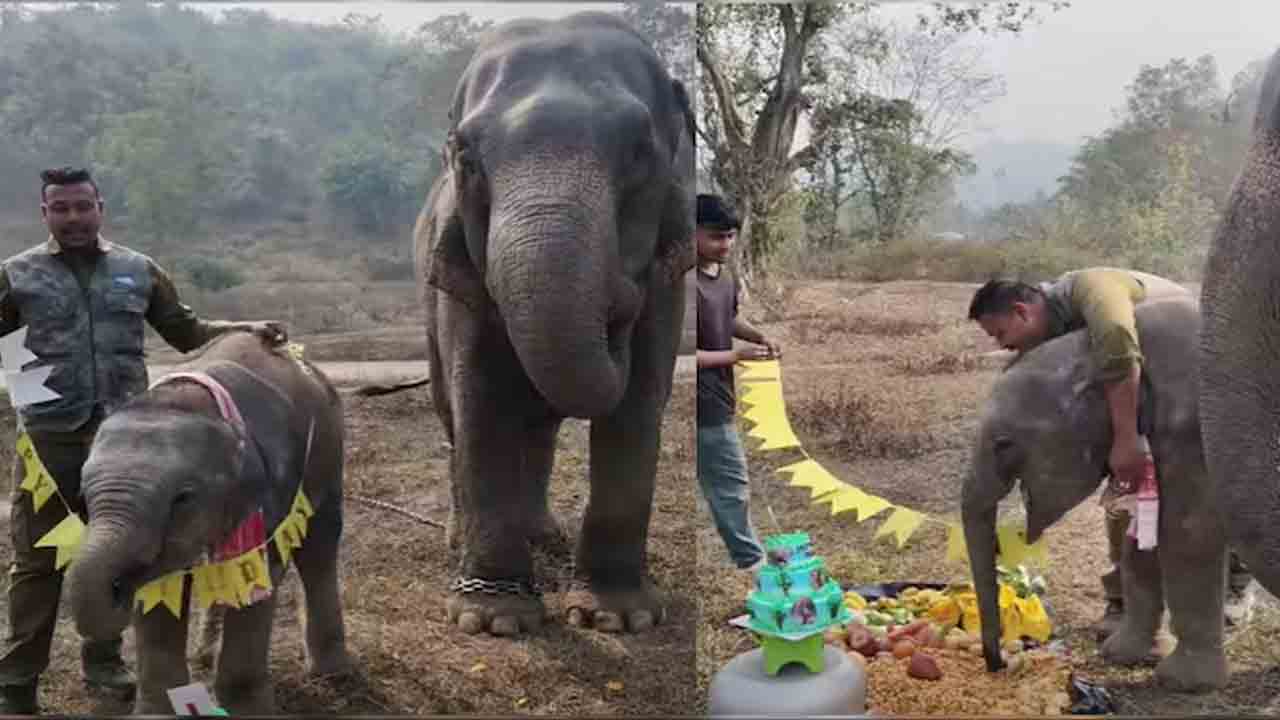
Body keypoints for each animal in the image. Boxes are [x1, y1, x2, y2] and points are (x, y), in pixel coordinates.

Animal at [65, 332, 350, 714]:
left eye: (182, 498)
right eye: (82, 497)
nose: (117, 590)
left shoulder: (271, 492)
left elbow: (257, 580)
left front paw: (249, 711)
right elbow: (160, 593)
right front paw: (156, 714)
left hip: (329, 452)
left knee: (319, 547)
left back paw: (333, 673)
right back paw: (204, 657)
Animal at [414, 10, 695, 637]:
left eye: (639, 152)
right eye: (466, 157)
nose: (619, 303)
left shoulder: (670, 283)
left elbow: (641, 400)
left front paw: (617, 617)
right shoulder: (460, 278)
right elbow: (479, 396)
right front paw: (495, 619)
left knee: (540, 426)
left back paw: (542, 534)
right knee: (450, 411)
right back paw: (459, 538)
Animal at [962, 296, 1229, 693]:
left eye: (1003, 444)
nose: (1001, 664)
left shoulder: (1190, 433)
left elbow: (1185, 534)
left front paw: (1181, 681)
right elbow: (1139, 541)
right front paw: (1121, 654)